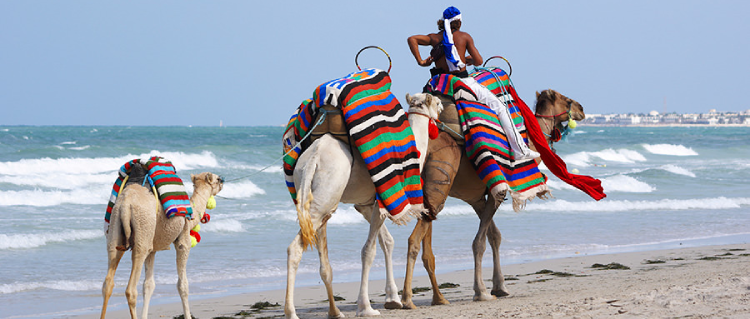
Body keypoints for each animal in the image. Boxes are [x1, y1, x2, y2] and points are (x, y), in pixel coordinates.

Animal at [100, 165, 223, 319]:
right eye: (217, 179)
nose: (223, 180)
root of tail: (125, 203)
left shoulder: (152, 250)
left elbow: (148, 285)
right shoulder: (183, 240)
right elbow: (183, 285)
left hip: (116, 228)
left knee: (108, 283)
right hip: (142, 231)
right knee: (130, 289)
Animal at [284, 93, 444, 319]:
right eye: (437, 102)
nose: (442, 110)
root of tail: (314, 157)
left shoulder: (367, 205)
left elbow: (387, 241)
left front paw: (392, 299)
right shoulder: (382, 203)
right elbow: (369, 251)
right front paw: (366, 307)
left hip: (313, 194)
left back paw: (333, 311)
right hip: (325, 196)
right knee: (295, 248)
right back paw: (292, 312)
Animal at [402, 89, 584, 308]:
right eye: (567, 100)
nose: (582, 109)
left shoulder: (477, 199)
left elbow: (494, 236)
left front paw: (500, 287)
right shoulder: (498, 190)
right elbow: (479, 242)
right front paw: (482, 291)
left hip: (429, 195)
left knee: (425, 246)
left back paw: (438, 298)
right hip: (439, 184)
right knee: (414, 240)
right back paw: (406, 299)